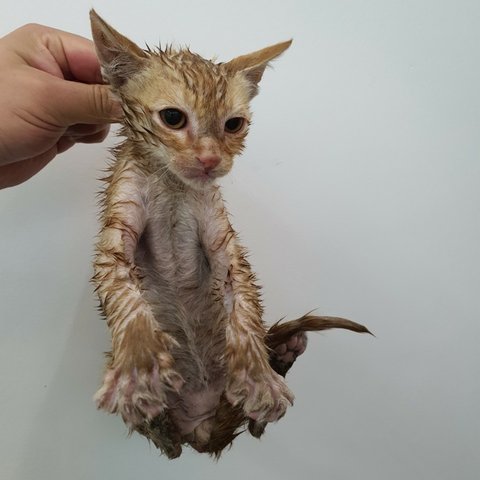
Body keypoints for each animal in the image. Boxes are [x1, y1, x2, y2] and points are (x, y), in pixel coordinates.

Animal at [90, 9, 370, 458]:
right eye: (173, 118)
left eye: (233, 125)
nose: (209, 159)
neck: (174, 187)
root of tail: (200, 431)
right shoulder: (120, 217)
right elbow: (122, 290)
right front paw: (138, 369)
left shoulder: (222, 237)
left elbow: (244, 302)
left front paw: (257, 374)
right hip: (169, 432)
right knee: (168, 443)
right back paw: (152, 407)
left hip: (227, 408)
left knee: (249, 427)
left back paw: (280, 357)